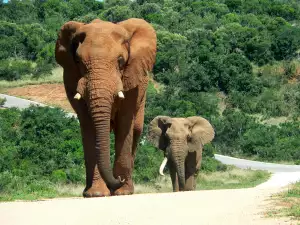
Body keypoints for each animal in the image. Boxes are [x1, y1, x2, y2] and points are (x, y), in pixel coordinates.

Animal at [54, 18, 157, 197]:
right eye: (78, 61)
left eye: (121, 61)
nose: (119, 179)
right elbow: (89, 126)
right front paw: (96, 194)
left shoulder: (132, 81)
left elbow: (125, 122)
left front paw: (122, 192)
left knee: (136, 129)